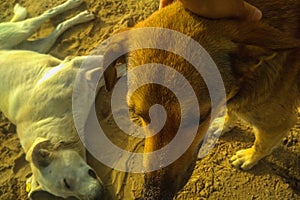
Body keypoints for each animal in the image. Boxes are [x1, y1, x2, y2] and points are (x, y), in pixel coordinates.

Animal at [0, 0, 109, 199]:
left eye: (66, 183)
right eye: (68, 196)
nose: (98, 197)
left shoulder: (74, 64)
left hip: (21, 30)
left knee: (47, 13)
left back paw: (74, 8)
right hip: (37, 47)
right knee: (55, 29)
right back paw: (79, 17)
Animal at [102, 0, 298, 198]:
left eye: (200, 118)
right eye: (138, 115)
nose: (152, 194)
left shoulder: (276, 125)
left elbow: (261, 144)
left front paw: (249, 157)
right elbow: (230, 112)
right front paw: (223, 124)